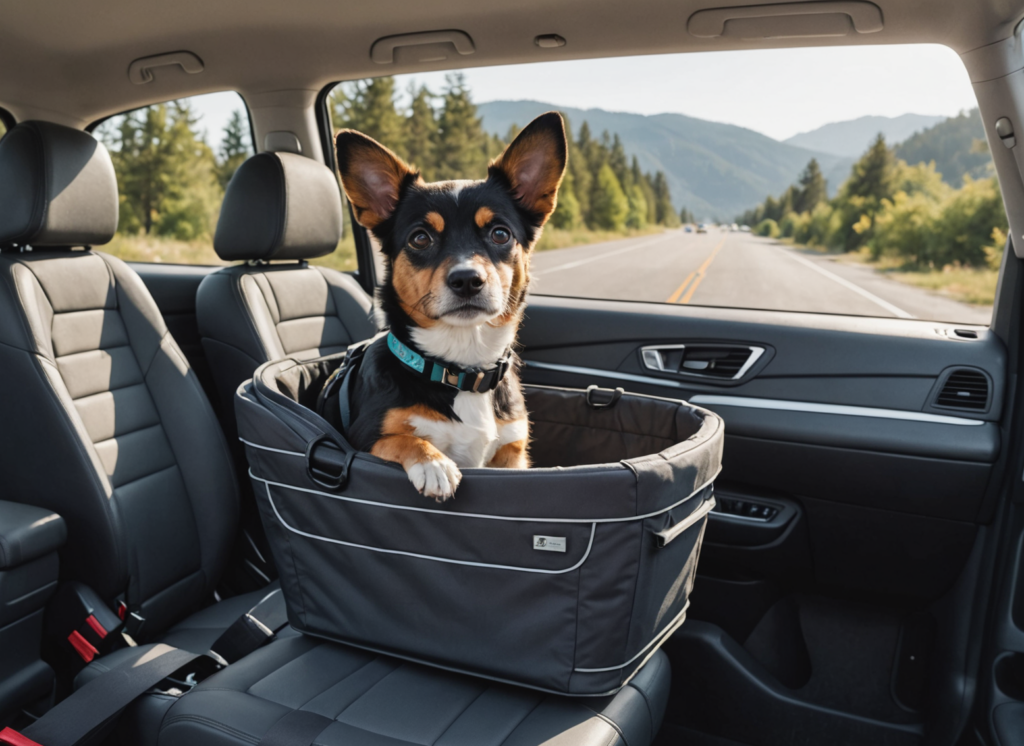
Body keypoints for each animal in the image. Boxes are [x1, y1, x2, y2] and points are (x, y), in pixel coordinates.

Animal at [333, 110, 569, 501]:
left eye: (500, 234)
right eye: (420, 238)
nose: (467, 280)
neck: (462, 370)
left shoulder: (512, 455)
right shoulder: (362, 440)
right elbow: (402, 438)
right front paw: (434, 464)